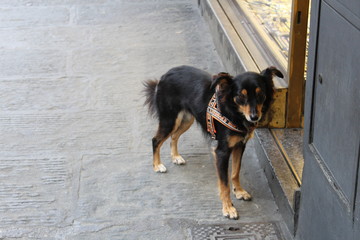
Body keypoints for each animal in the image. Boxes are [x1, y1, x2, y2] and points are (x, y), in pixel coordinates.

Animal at [143, 65, 284, 219]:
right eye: (241, 96)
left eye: (260, 94)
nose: (254, 117)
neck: (232, 110)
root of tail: (166, 74)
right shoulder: (222, 152)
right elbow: (224, 184)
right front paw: (228, 208)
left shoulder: (240, 145)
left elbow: (235, 172)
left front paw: (239, 191)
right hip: (169, 119)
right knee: (156, 140)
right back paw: (157, 165)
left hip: (187, 119)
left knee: (174, 137)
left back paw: (176, 157)